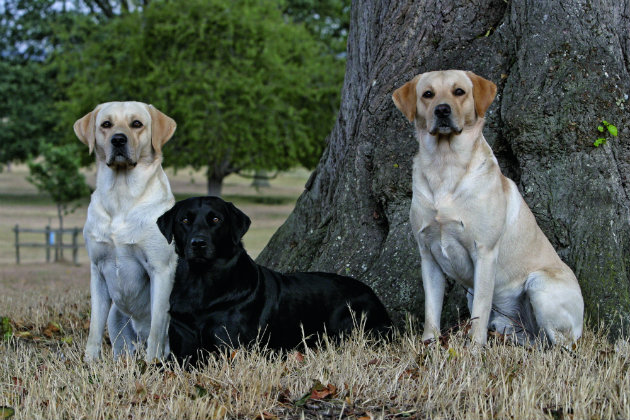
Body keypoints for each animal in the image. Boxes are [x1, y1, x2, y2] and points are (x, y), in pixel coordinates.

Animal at [157, 197, 392, 364]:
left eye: (216, 220)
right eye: (184, 220)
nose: (198, 243)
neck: (201, 282)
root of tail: (375, 296)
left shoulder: (230, 348)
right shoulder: (182, 344)